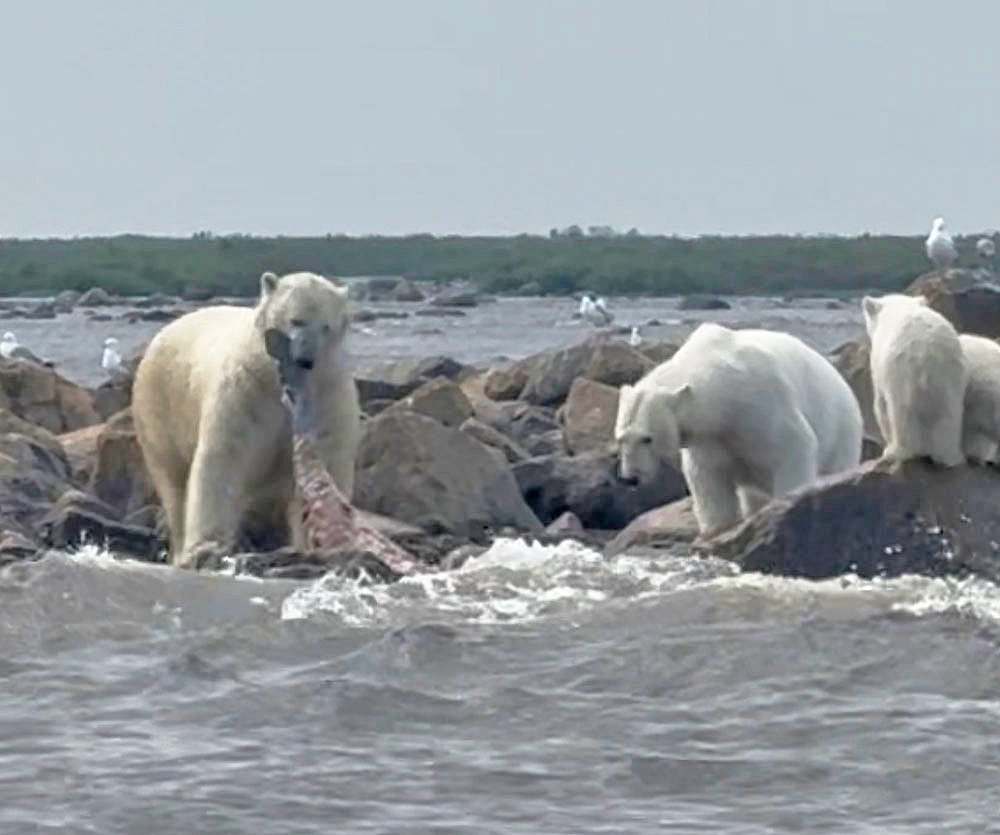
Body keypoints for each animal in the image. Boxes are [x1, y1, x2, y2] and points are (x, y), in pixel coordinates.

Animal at [132, 271, 361, 568]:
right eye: (296, 320)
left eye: (327, 327)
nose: (306, 359)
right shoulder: (247, 392)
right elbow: (224, 457)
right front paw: (206, 547)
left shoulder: (328, 398)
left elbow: (326, 465)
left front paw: (319, 543)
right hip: (161, 405)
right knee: (174, 481)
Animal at [615, 322, 863, 538]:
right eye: (621, 439)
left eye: (647, 438)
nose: (630, 478)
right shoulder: (708, 438)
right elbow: (708, 477)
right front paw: (717, 528)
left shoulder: (762, 405)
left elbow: (793, 450)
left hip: (840, 427)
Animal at [861, 293, 967, 468]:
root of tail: (929, 354)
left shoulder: (879, 364)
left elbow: (880, 403)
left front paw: (887, 447)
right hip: (951, 379)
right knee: (949, 416)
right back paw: (949, 457)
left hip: (903, 376)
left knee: (900, 412)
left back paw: (898, 452)